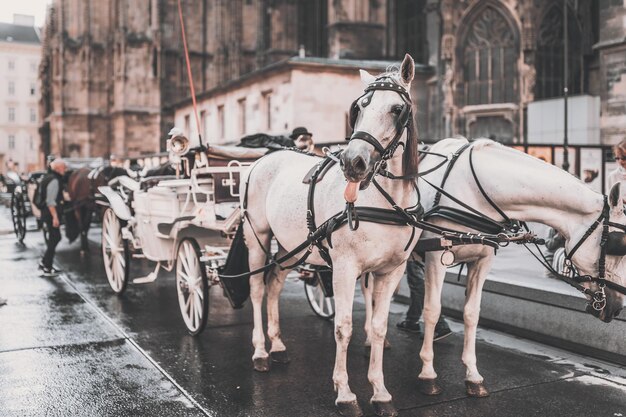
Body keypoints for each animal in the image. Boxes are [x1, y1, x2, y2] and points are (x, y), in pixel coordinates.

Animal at [241, 53, 422, 414]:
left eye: (397, 109)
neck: (384, 200)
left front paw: (380, 392)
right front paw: (345, 393)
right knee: (256, 288)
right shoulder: (344, 267)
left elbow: (378, 327)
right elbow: (343, 326)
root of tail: (264, 158)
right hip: (258, 238)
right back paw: (261, 351)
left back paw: (278, 346)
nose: (353, 163)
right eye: (360, 107)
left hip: (292, 247)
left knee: (274, 283)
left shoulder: (391, 271)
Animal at [360, 136, 624, 396]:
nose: (617, 307)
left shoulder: (483, 261)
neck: (476, 191)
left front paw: (472, 375)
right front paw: (428, 373)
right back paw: (371, 339)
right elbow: (432, 310)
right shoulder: (436, 256)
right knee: (370, 290)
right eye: (615, 244)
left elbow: (472, 313)